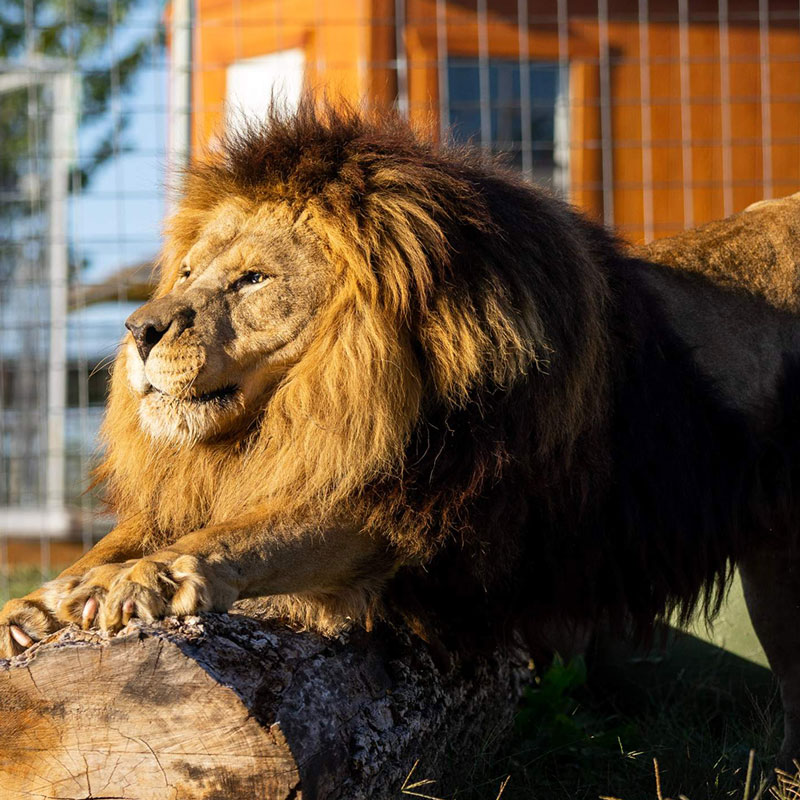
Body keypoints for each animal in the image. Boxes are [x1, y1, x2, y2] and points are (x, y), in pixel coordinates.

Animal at [1, 101, 800, 764]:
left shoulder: (414, 511)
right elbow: (132, 535)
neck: (311, 404)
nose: (138, 329)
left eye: (254, 280)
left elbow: (255, 530)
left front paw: (148, 576)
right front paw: (46, 601)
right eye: (188, 271)